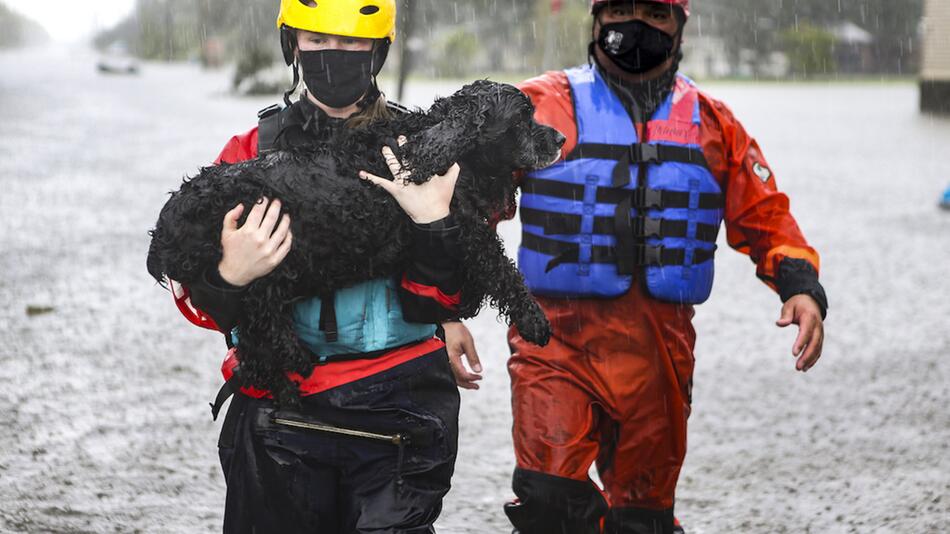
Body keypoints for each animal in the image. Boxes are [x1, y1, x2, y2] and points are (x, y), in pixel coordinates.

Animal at [149, 80, 564, 406]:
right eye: (522, 118)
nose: (559, 138)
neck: (436, 150)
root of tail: (167, 222)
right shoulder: (468, 228)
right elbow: (502, 270)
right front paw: (534, 320)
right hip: (262, 271)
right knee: (253, 335)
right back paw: (292, 366)